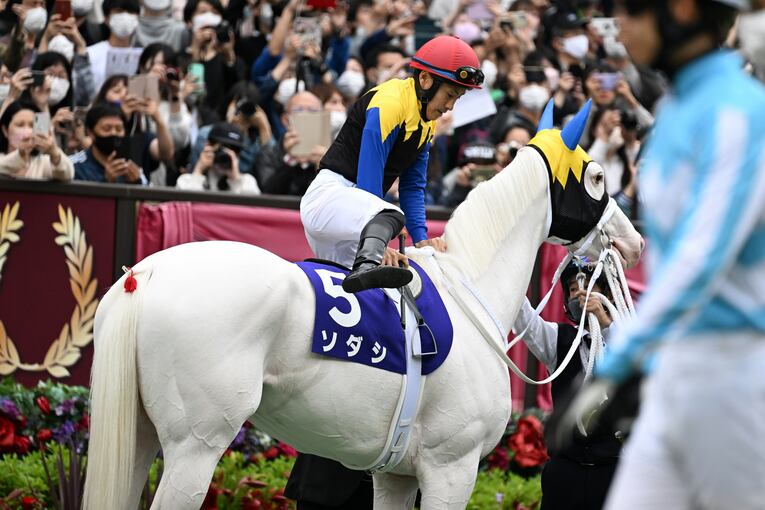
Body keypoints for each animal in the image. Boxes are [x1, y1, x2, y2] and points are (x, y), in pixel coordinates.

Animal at [83, 100, 643, 510]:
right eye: (596, 177)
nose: (634, 241)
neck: (470, 292)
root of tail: (143, 276)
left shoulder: (396, 475)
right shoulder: (452, 468)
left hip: (138, 435)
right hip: (196, 444)